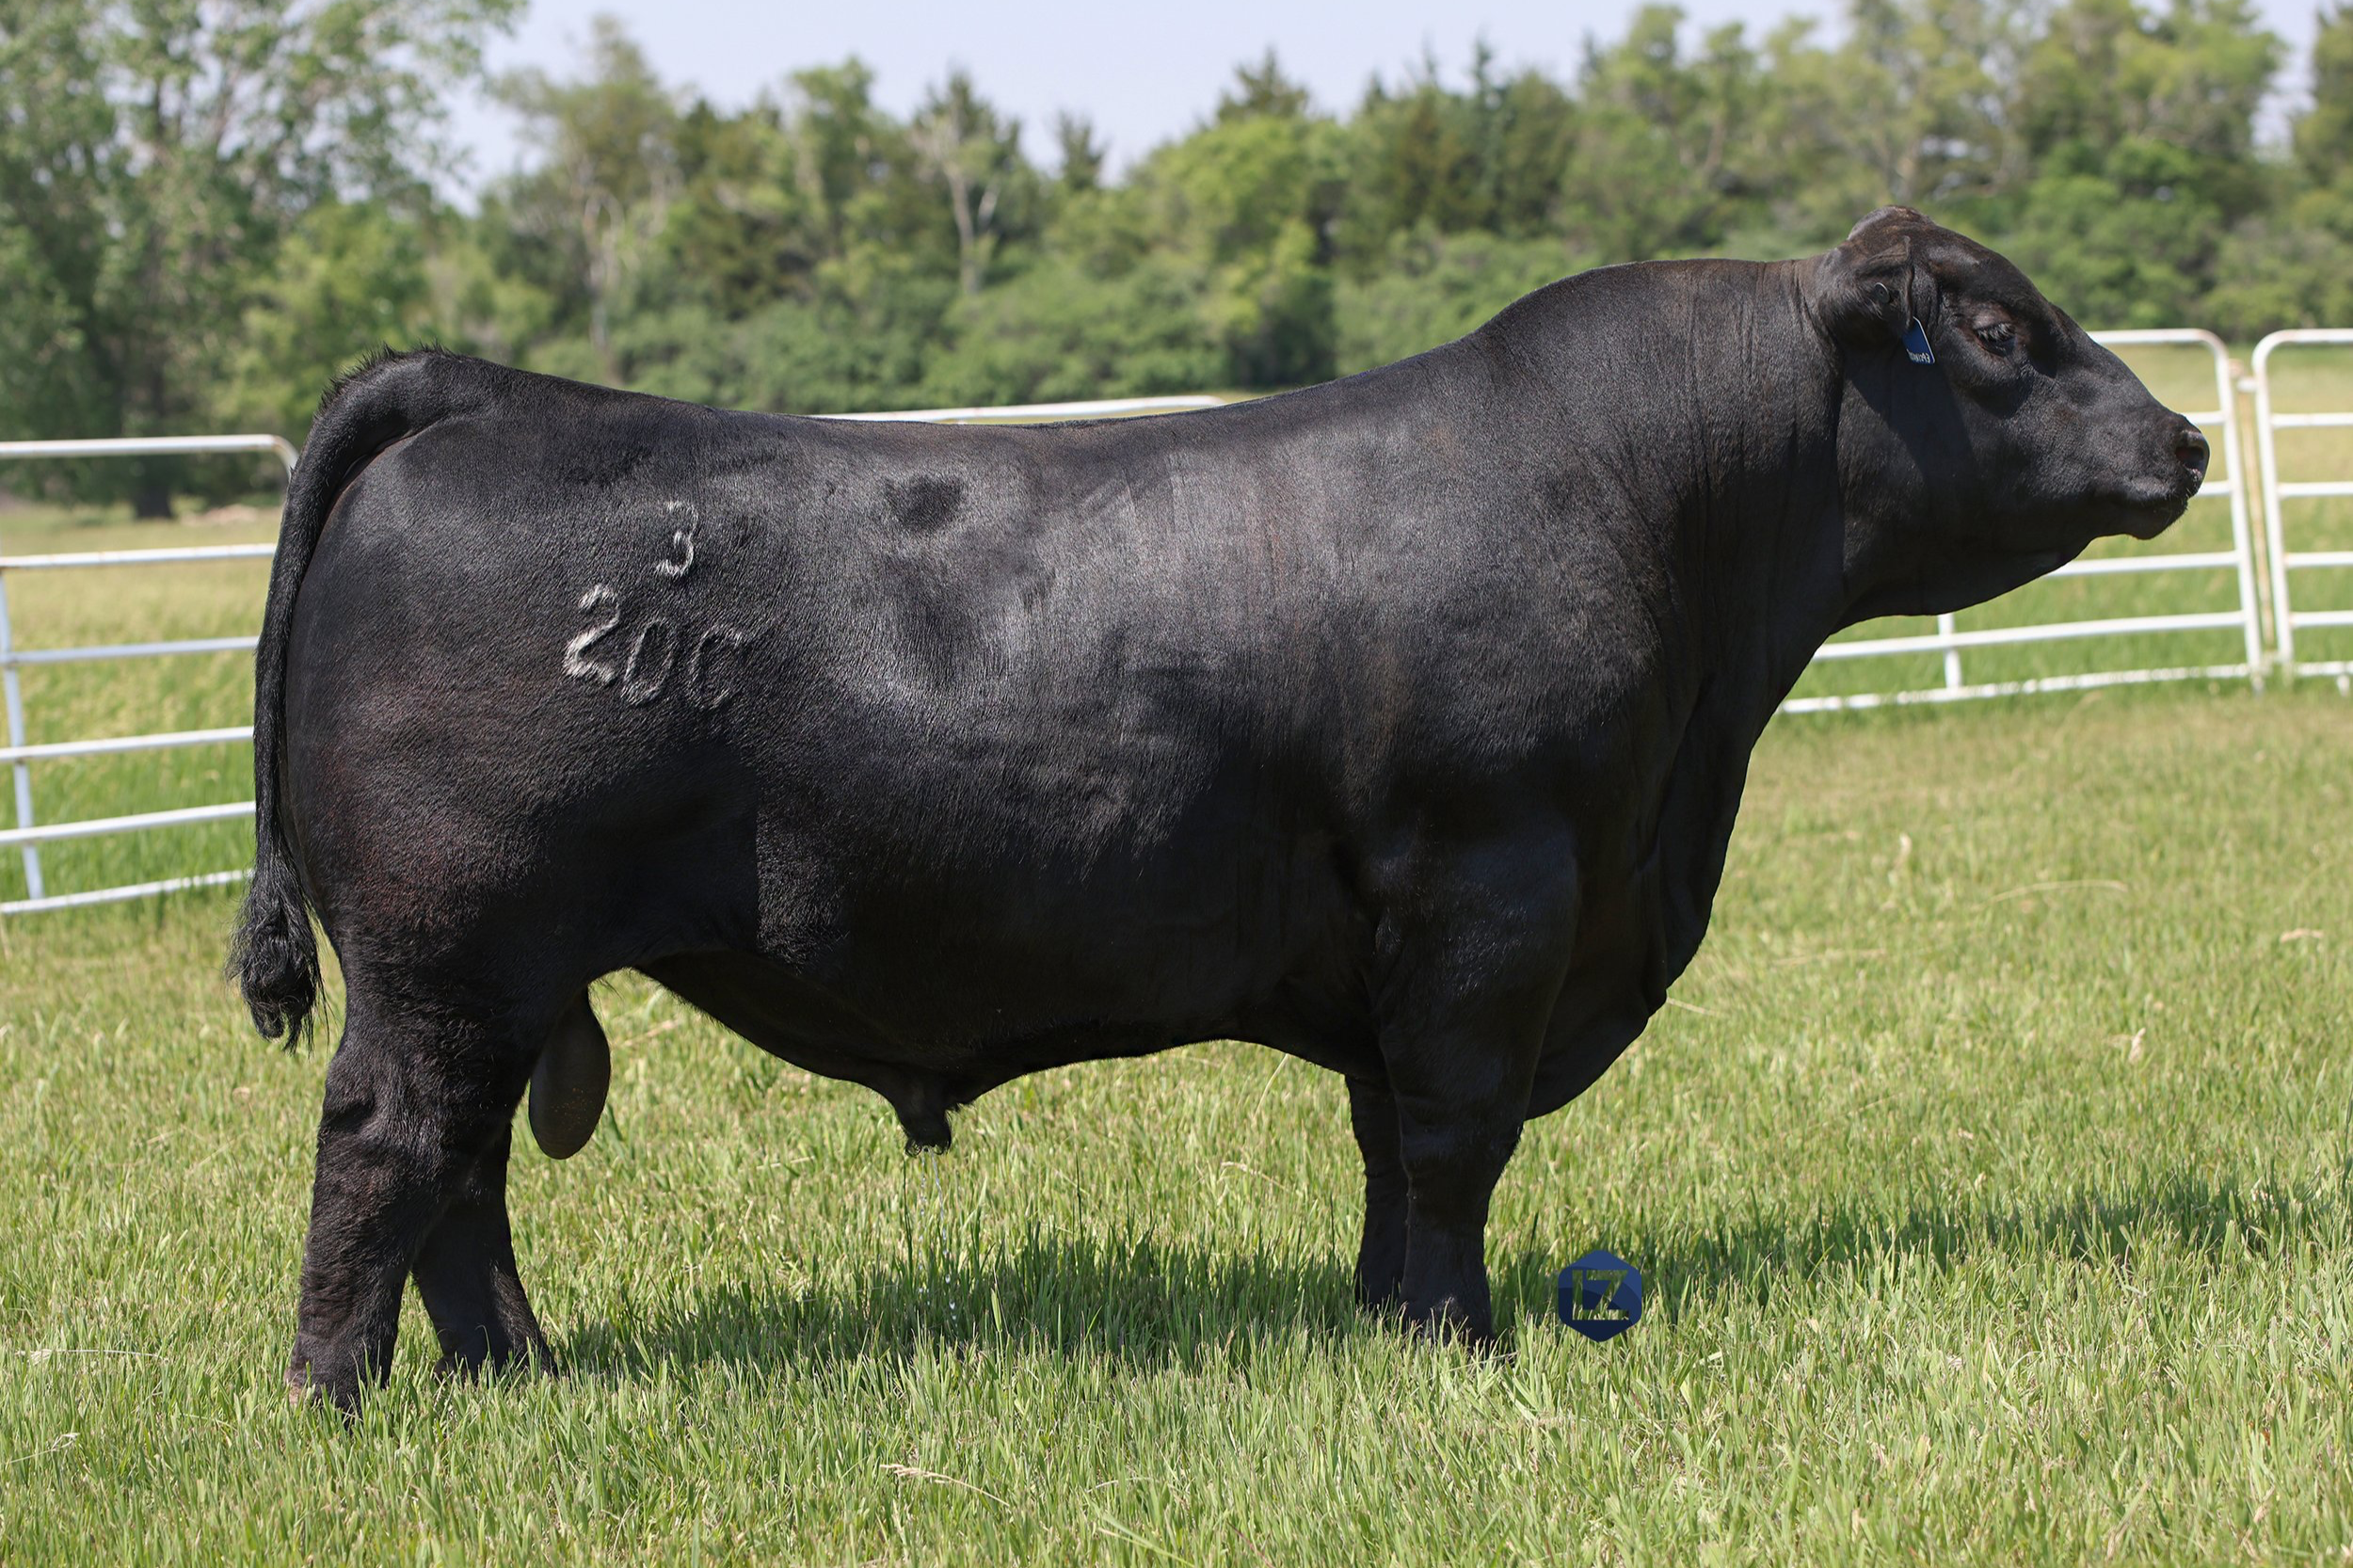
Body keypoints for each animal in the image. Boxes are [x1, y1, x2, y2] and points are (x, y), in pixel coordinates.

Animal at [234, 208, 2206, 1412]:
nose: (2185, 439)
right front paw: (1468, 1346)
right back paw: (340, 1402)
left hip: (494, 970)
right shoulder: (1495, 891)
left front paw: (1388, 1322)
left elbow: (1388, 1144)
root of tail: (480, 391)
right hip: (451, 942)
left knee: (468, 1174)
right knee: (391, 1143)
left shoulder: (1412, 938)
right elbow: (1458, 1137)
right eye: (1997, 326)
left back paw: (520, 1373)